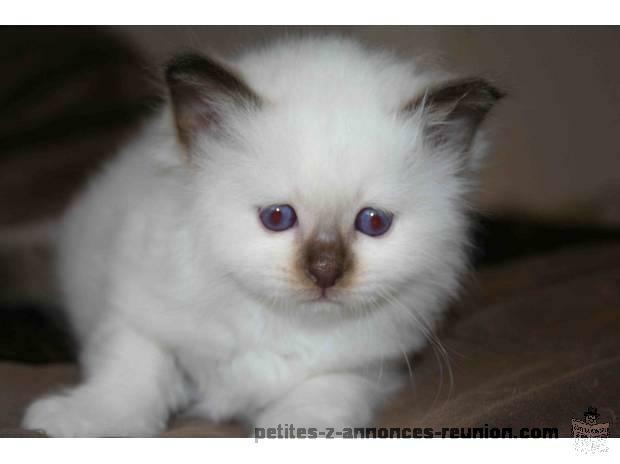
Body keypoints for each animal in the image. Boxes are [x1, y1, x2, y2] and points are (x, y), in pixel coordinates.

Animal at [21, 35, 502, 436]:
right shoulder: (134, 313)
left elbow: (319, 401)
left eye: (373, 223)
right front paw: (71, 423)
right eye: (277, 217)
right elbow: (131, 376)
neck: (279, 324)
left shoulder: (366, 369)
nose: (324, 273)